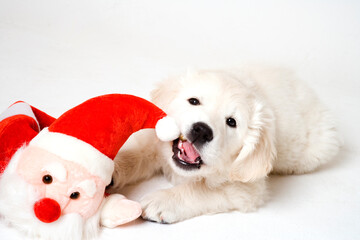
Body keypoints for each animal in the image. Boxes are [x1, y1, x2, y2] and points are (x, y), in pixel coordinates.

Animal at [109, 66, 340, 223]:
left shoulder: (247, 186)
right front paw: (113, 168)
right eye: (194, 101)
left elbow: (200, 189)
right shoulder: (156, 139)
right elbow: (138, 153)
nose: (202, 130)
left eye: (231, 122)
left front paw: (162, 200)